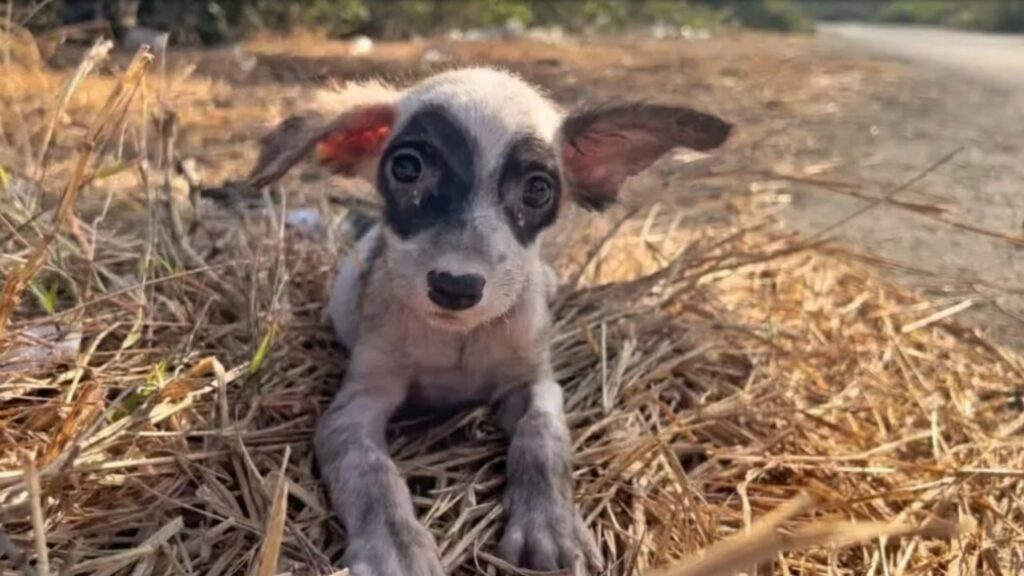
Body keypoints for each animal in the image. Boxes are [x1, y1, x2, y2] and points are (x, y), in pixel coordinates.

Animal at [246, 68, 729, 573]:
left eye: (538, 189)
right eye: (407, 168)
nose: (455, 286)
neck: (458, 340)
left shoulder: (535, 383)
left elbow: (541, 437)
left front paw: (550, 525)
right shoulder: (353, 407)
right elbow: (369, 469)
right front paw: (394, 543)